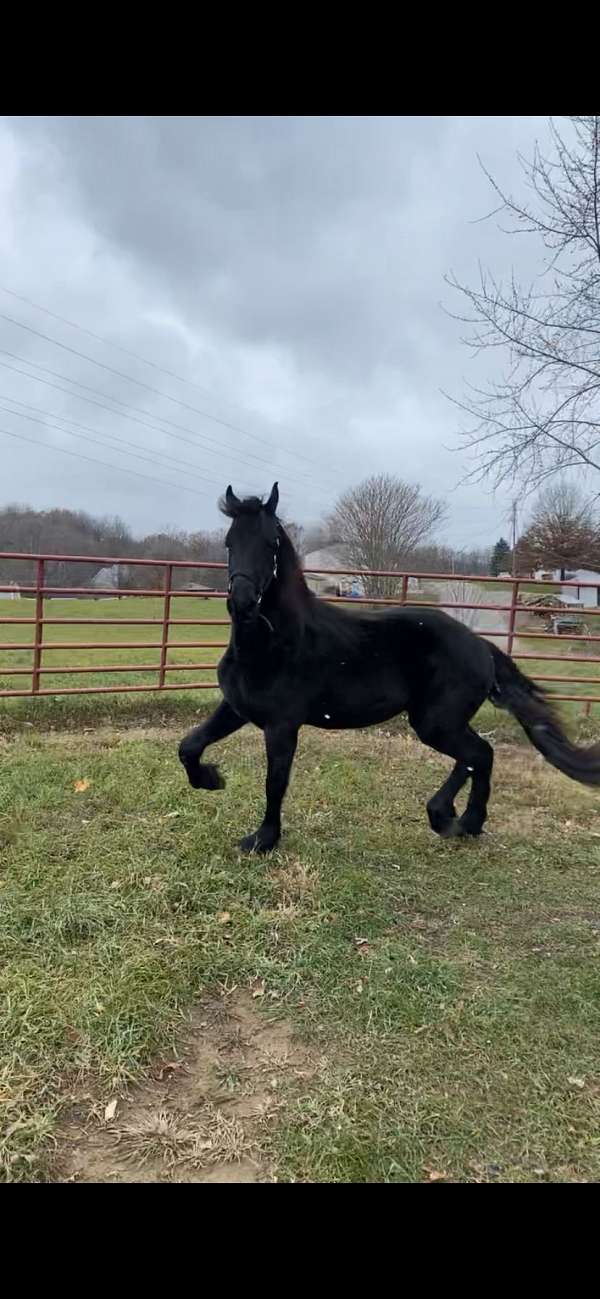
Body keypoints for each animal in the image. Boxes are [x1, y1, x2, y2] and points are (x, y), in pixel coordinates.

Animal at [177, 485, 600, 852]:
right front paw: (211, 780)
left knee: (479, 754)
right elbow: (189, 746)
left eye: (271, 544)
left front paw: (262, 839)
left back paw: (456, 820)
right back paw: (457, 819)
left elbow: (274, 782)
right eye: (230, 542)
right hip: (440, 721)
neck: (272, 643)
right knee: (476, 756)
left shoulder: (282, 726)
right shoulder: (236, 708)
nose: (243, 603)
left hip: (436, 722)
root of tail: (480, 645)